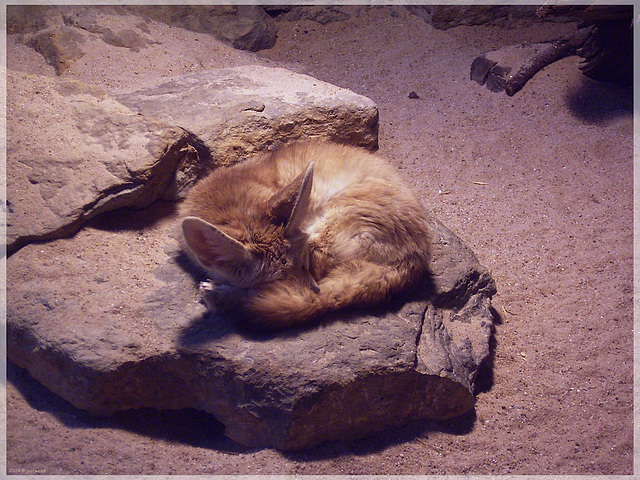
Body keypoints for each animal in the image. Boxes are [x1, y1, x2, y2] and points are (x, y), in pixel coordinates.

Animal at [180, 141, 430, 328]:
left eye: (305, 266)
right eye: (270, 286)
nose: (314, 293)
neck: (231, 197)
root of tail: (417, 257)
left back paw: (221, 297)